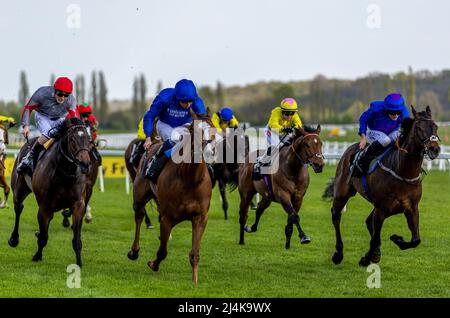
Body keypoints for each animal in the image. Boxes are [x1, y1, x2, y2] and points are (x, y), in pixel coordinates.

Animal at [8, 118, 91, 268]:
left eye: (88, 138)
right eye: (72, 139)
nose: (85, 164)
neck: (64, 173)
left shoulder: (78, 204)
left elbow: (76, 239)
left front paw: (79, 262)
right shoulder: (44, 207)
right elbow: (43, 235)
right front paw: (37, 255)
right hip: (19, 190)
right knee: (18, 208)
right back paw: (14, 239)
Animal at [126, 113, 216, 284]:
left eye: (214, 129)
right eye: (195, 131)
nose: (209, 152)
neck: (190, 179)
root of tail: (155, 142)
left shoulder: (200, 217)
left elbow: (194, 254)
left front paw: (195, 281)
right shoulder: (168, 217)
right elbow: (162, 251)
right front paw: (153, 264)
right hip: (139, 196)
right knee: (139, 216)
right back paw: (134, 251)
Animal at [322, 106, 442, 266]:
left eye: (435, 127)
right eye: (419, 128)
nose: (435, 149)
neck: (403, 172)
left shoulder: (411, 208)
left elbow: (416, 240)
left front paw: (396, 239)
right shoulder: (382, 209)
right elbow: (375, 238)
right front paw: (368, 257)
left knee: (368, 221)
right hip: (342, 193)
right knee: (336, 216)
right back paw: (338, 254)